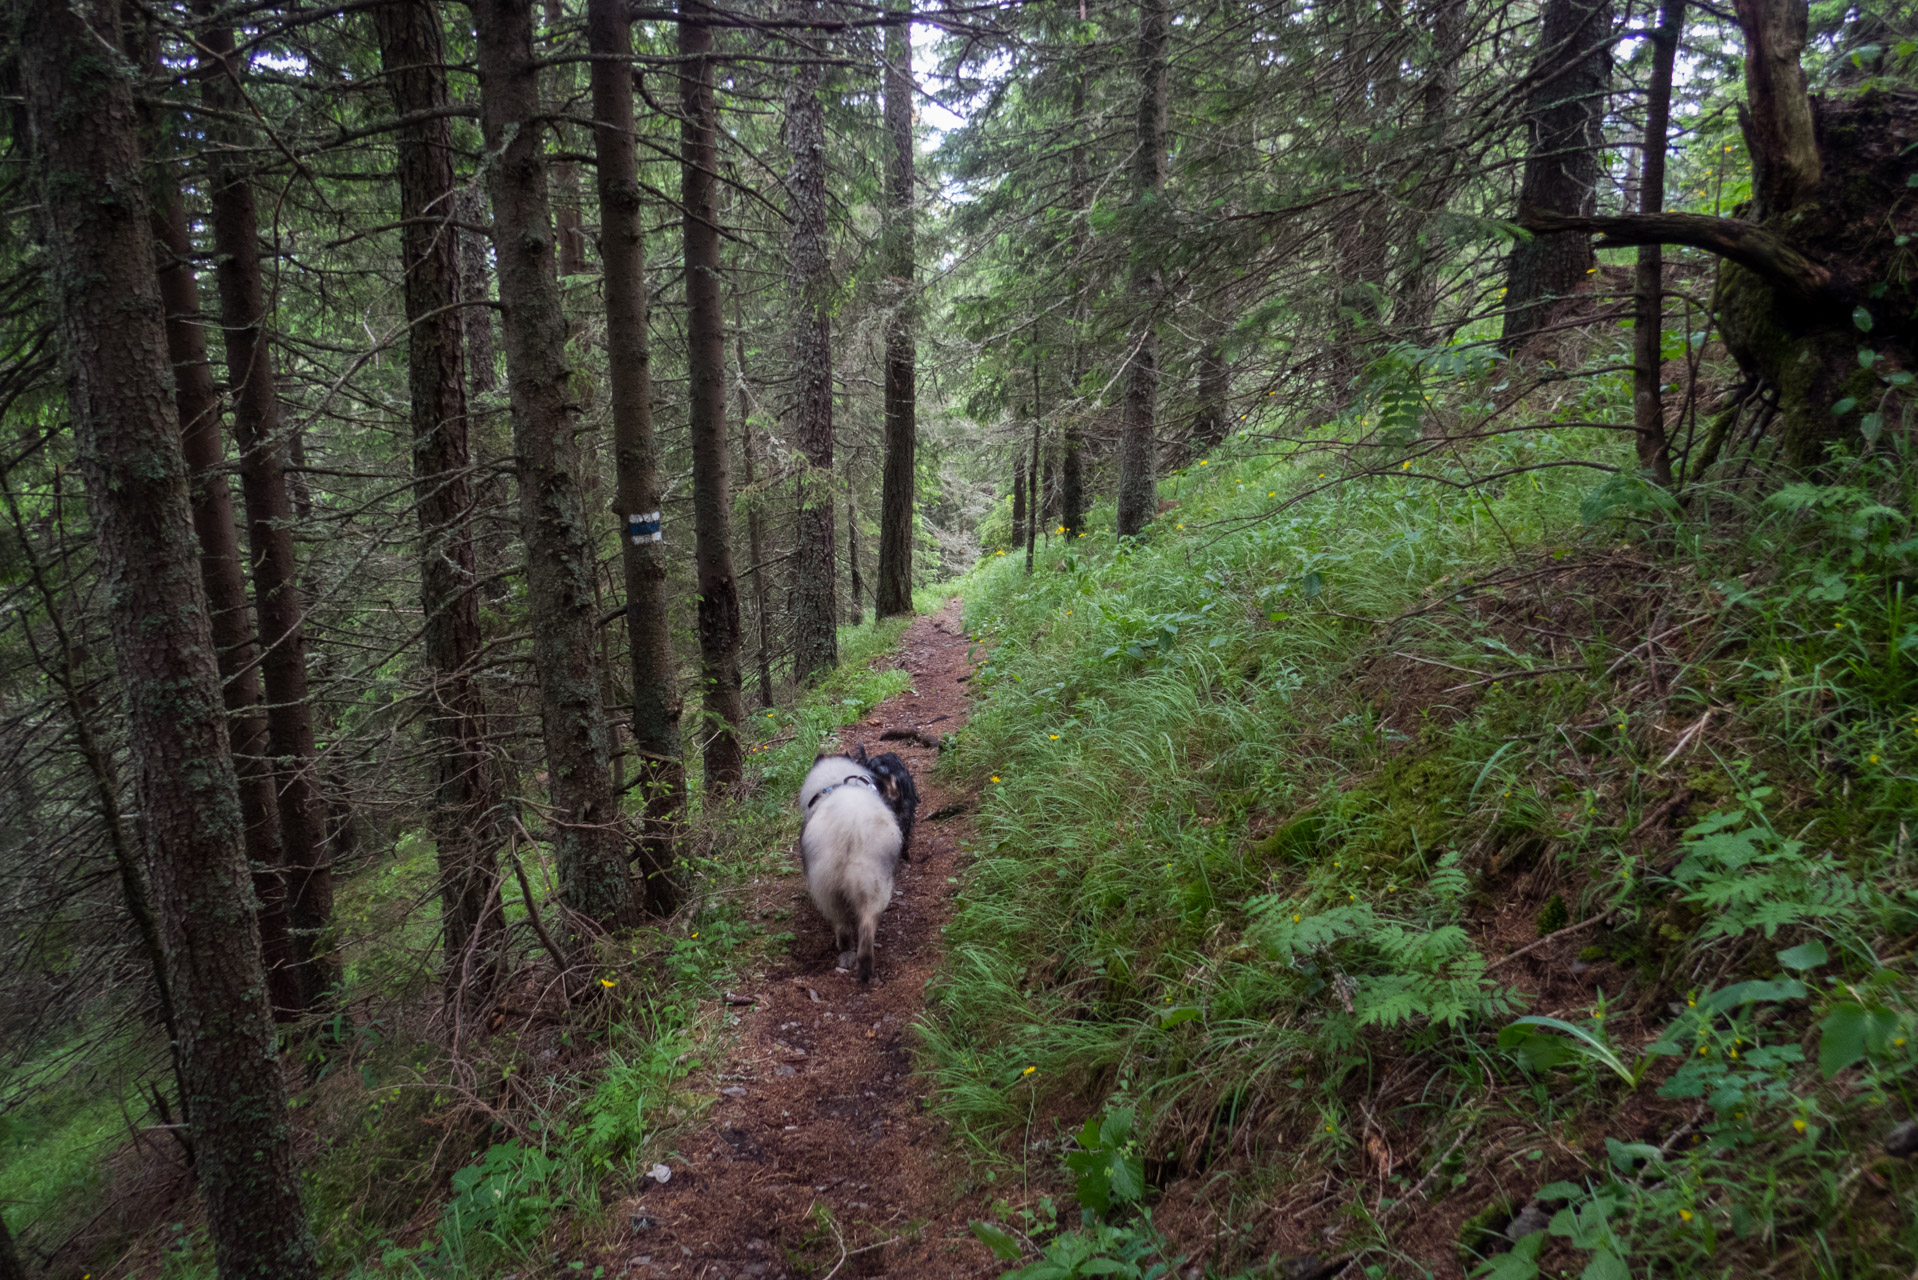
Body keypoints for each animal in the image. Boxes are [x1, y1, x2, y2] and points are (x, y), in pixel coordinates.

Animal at [801, 752, 905, 982]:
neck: (836, 782)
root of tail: (850, 827)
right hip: (873, 884)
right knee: (865, 926)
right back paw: (864, 968)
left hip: (829, 887)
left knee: (842, 923)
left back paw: (846, 948)